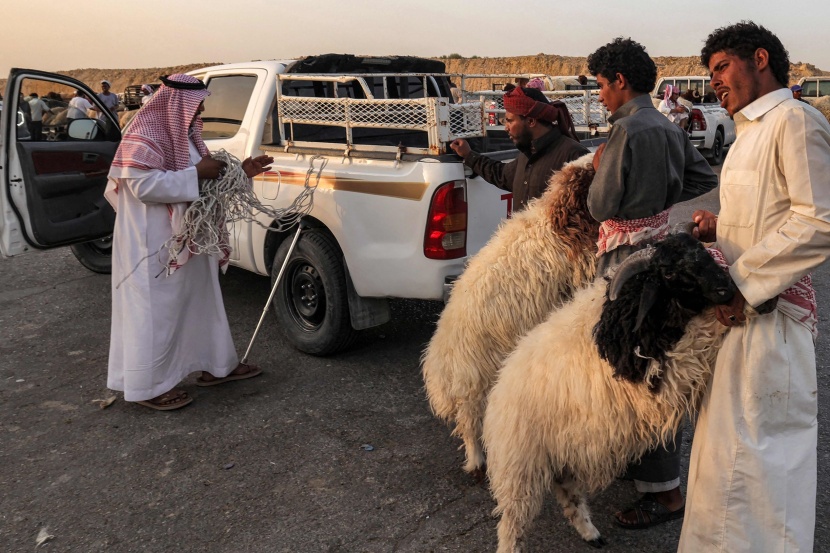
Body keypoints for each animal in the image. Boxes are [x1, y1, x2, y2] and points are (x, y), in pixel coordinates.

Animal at [422, 153, 600, 476]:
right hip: (475, 385)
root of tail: (440, 368)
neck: (556, 219)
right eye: (591, 169)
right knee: (471, 426)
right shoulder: (580, 263)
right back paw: (477, 461)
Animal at [484, 233, 752, 548]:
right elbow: (698, 336)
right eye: (669, 273)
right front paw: (735, 312)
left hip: (561, 455)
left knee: (569, 497)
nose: (726, 288)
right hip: (520, 468)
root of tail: (498, 391)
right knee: (512, 523)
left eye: (701, 251)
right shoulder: (663, 381)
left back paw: (592, 535)